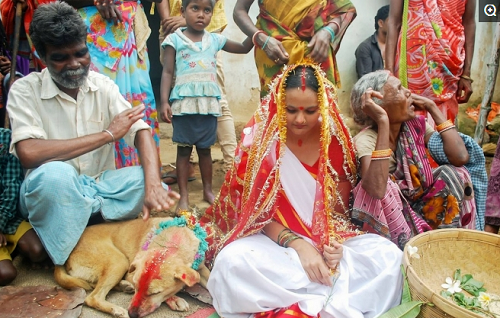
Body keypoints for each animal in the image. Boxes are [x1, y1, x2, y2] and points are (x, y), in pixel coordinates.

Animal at [54, 217, 211, 316]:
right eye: (137, 286)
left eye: (154, 293)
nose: (132, 314)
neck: (172, 243)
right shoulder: (131, 272)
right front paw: (175, 299)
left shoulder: (201, 268)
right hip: (119, 261)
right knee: (92, 297)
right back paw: (116, 309)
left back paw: (123, 286)